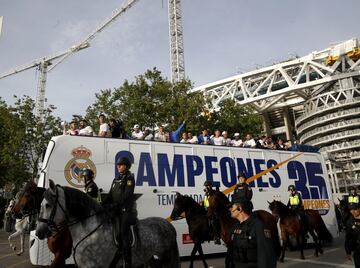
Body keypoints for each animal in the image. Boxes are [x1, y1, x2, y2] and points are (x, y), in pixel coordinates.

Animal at [35, 180, 179, 268]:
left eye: (48, 205)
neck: (89, 230)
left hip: (166, 257)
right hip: (149, 257)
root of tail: (168, 224)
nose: (39, 232)